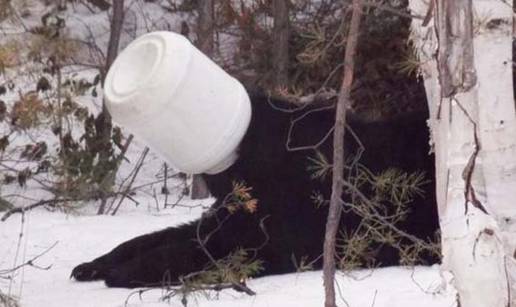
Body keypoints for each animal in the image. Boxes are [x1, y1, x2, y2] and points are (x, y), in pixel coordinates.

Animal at [70, 93, 438, 288]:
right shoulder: (229, 216)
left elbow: (197, 250)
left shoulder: (281, 231)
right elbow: (152, 238)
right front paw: (93, 265)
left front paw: (125, 272)